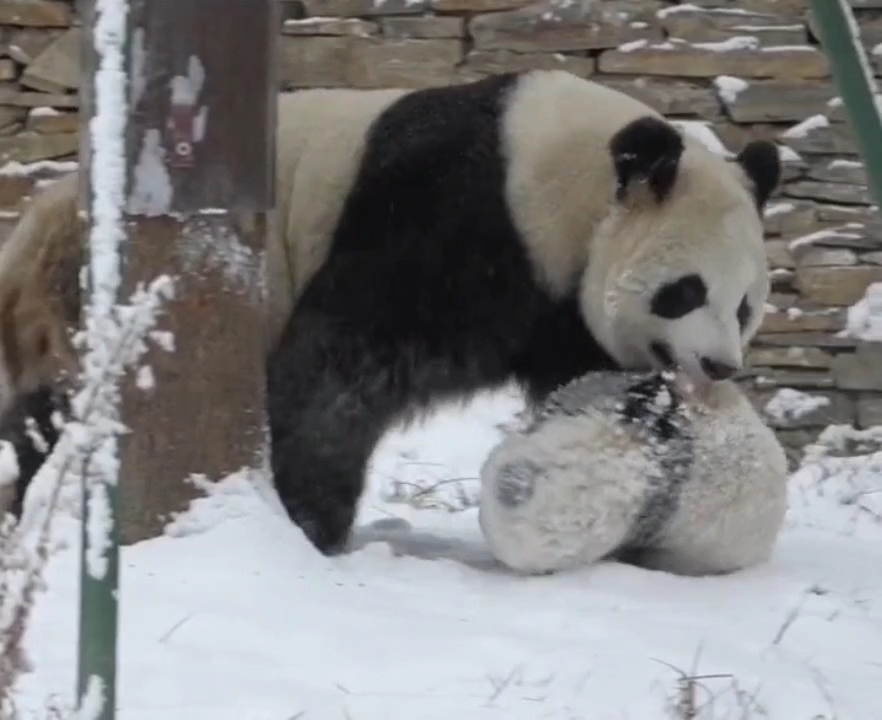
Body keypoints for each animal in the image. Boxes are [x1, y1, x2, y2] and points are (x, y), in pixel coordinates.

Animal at [0, 71, 776, 556]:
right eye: (685, 291)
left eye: (745, 304)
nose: (718, 365)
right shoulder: (451, 217)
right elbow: (338, 368)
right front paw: (309, 518)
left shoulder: (558, 308)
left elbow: (580, 383)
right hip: (73, 292)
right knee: (51, 411)